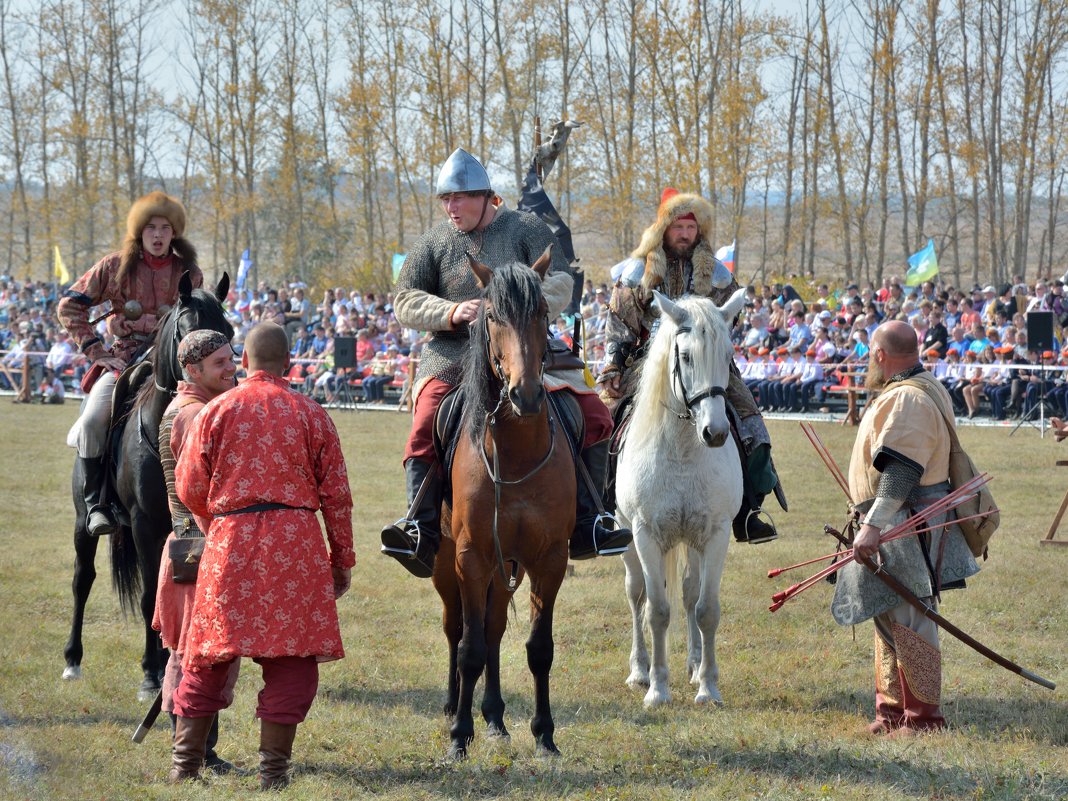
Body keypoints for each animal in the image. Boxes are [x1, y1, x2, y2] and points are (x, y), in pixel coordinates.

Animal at [63, 273, 232, 700]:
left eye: (228, 330)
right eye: (185, 333)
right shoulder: (143, 524)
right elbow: (146, 597)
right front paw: (150, 674)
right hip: (82, 524)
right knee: (82, 579)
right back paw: (72, 659)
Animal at [429, 249, 576, 760]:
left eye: (543, 313)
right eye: (491, 316)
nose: (525, 394)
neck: (515, 455)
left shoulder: (548, 559)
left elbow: (538, 648)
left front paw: (545, 735)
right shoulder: (470, 556)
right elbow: (469, 648)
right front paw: (459, 737)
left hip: (505, 565)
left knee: (492, 627)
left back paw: (493, 717)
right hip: (447, 563)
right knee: (458, 629)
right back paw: (455, 706)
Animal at [619, 290, 743, 709]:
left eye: (728, 354)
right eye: (686, 356)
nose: (715, 432)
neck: (685, 454)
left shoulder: (715, 535)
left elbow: (706, 610)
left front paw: (708, 686)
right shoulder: (645, 535)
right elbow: (656, 611)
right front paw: (658, 688)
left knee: (690, 595)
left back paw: (692, 663)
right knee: (637, 594)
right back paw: (639, 670)